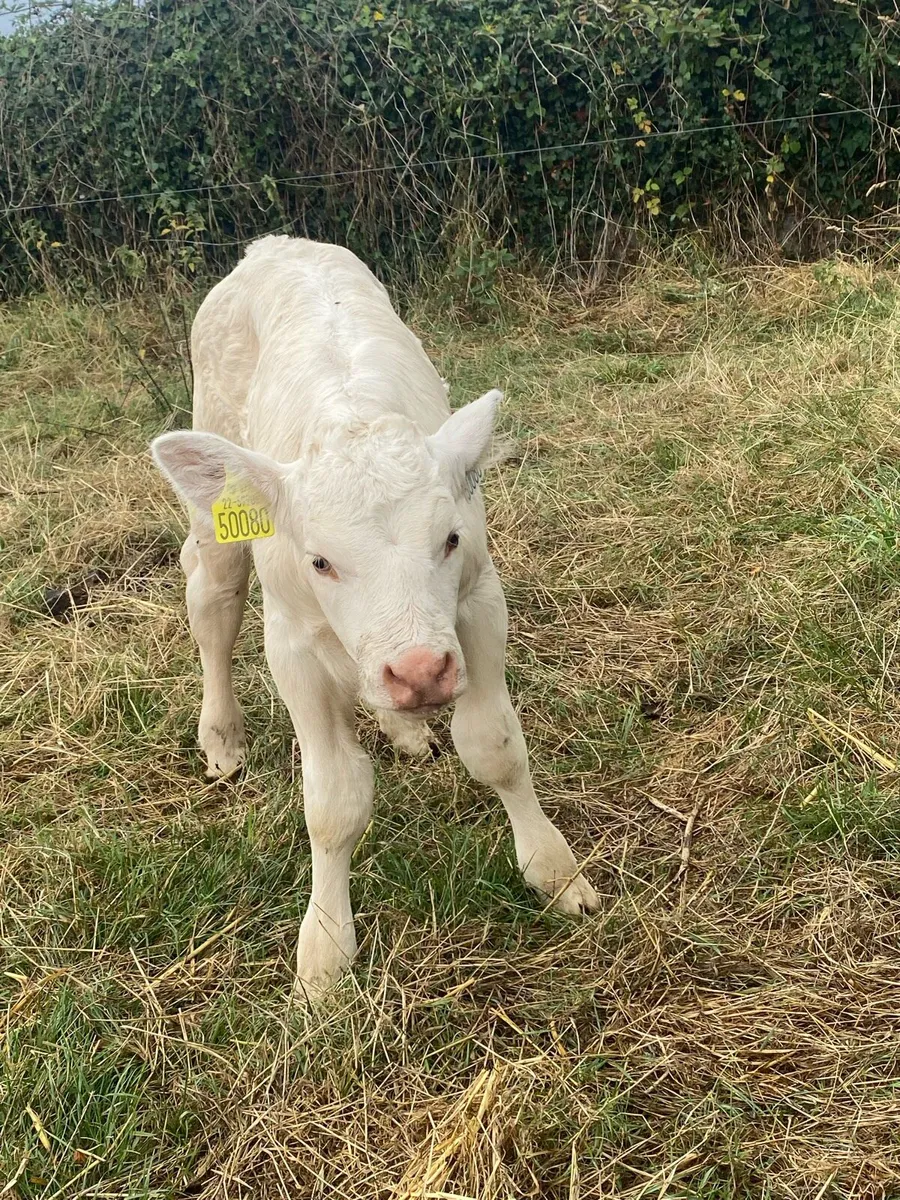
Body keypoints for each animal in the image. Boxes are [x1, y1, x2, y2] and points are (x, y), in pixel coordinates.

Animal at [151, 236, 598, 998]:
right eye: (321, 562)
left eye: (449, 539)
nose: (419, 671)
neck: (349, 415)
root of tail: (272, 244)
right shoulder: (292, 643)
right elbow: (333, 803)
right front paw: (326, 950)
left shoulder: (478, 602)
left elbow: (495, 746)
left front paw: (554, 870)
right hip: (217, 500)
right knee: (211, 602)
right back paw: (222, 738)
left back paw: (404, 729)